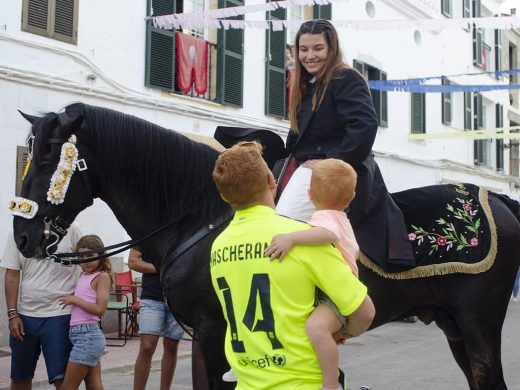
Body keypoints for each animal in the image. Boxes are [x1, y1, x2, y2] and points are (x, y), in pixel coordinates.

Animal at [11, 103, 520, 390]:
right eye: (29, 153)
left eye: (50, 158)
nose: (22, 237)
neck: (200, 213)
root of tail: (496, 198)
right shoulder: (206, 336)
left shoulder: (216, 330)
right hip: (454, 326)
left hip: (477, 324)